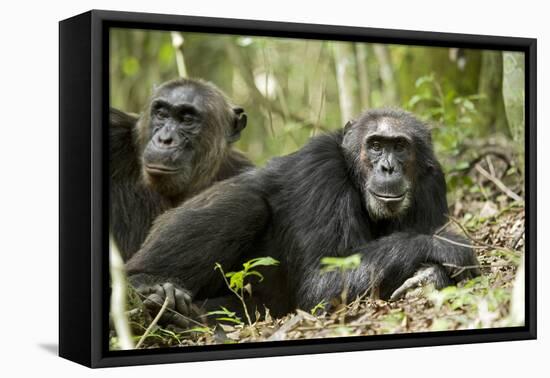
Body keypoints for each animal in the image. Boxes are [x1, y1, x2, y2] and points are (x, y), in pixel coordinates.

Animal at [127, 107, 480, 324]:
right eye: (377, 145)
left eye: (400, 146)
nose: (388, 167)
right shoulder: (320, 170)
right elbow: (321, 280)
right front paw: (450, 248)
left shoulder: (433, 181)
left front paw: (431, 276)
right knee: (246, 203)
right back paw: (151, 289)